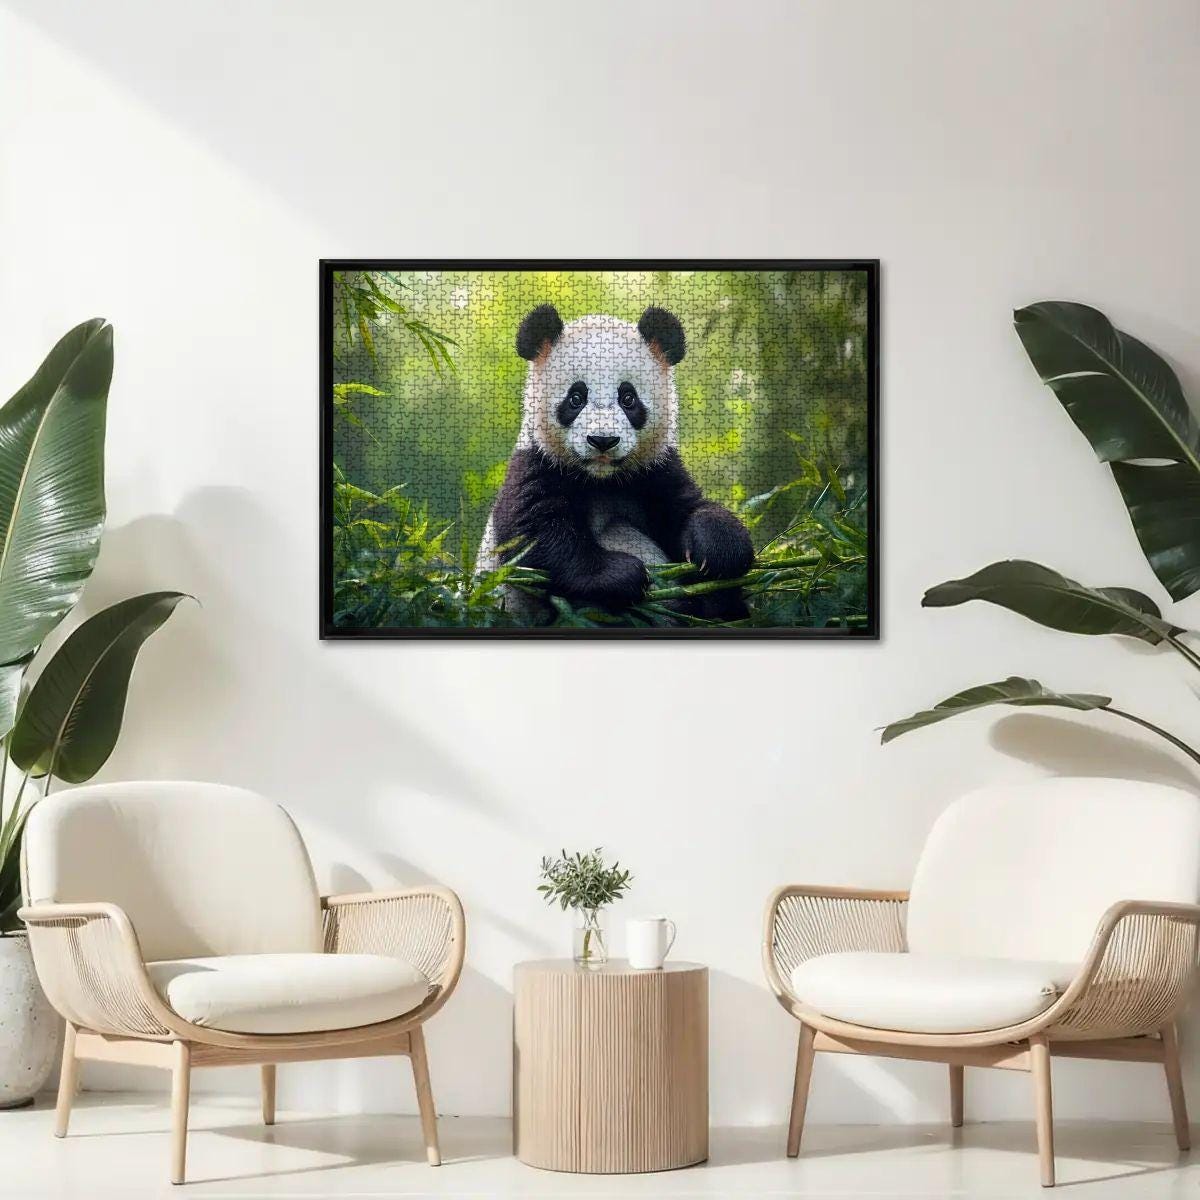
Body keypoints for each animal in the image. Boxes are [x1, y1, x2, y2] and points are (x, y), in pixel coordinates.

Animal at [477, 303, 754, 623]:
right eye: (576, 398)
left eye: (628, 398)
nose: (603, 440)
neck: (601, 479)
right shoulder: (536, 464)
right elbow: (532, 536)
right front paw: (622, 575)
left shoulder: (654, 470)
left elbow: (687, 507)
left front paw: (720, 548)